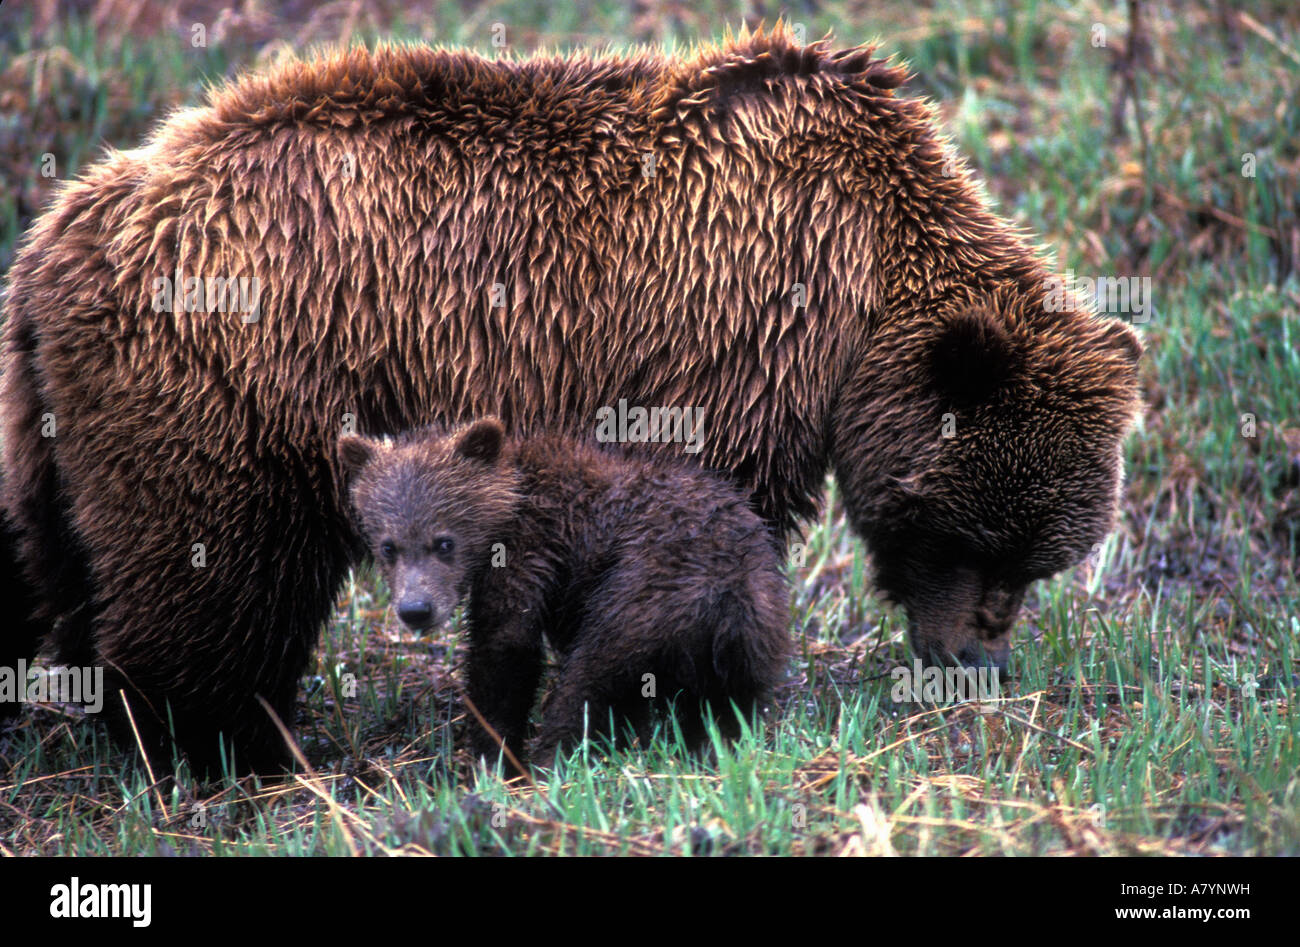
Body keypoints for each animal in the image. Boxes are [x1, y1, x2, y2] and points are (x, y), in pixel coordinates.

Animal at [0, 25, 1138, 775]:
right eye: (977, 534)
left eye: (1041, 555)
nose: (976, 660)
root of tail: (58, 233)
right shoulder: (732, 335)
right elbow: (704, 529)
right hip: (235, 387)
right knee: (213, 580)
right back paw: (231, 747)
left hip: (54, 429)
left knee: (51, 564)